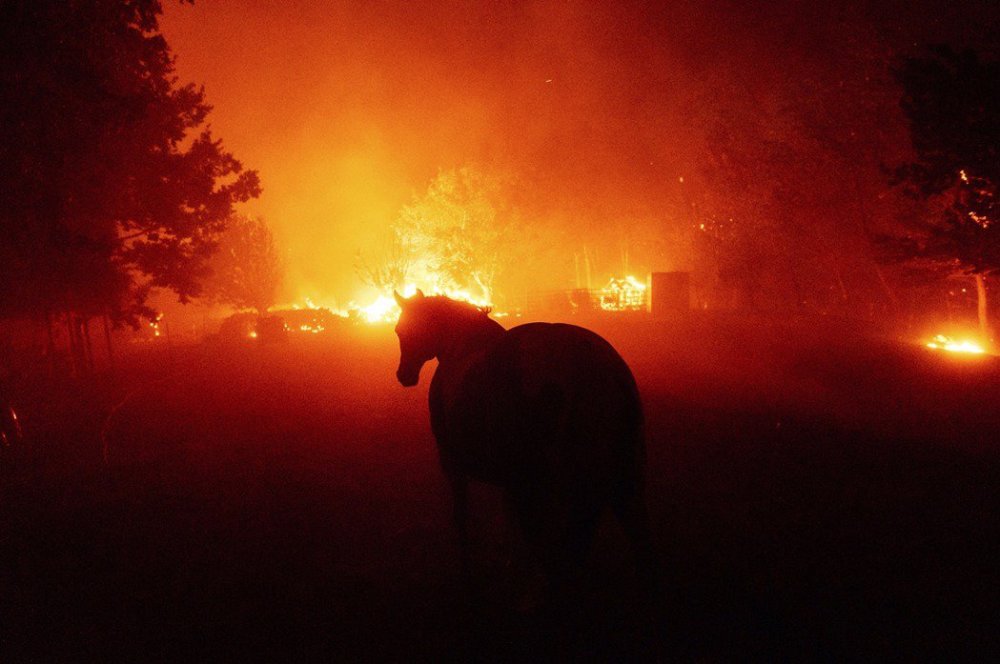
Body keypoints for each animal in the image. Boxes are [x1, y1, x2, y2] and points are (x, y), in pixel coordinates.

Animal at [390, 290, 656, 596]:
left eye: (401, 330)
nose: (403, 374)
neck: (461, 344)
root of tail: (594, 367)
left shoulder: (454, 465)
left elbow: (462, 517)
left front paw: (468, 575)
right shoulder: (508, 480)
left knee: (557, 550)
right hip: (624, 479)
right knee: (634, 542)